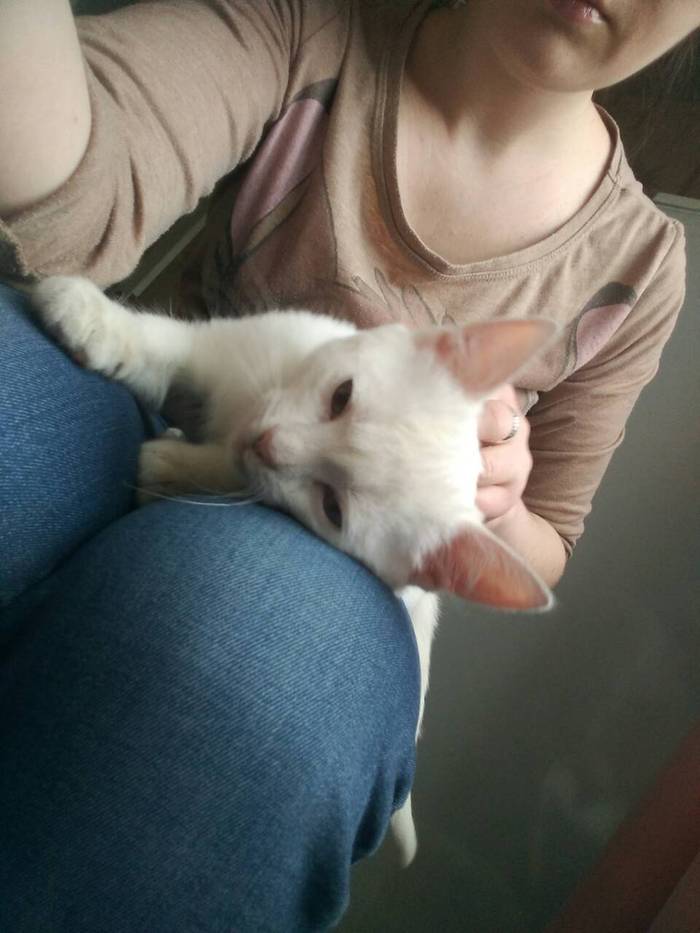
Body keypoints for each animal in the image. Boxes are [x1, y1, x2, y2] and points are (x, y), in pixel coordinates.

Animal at [31, 275, 555, 866]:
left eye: (332, 508)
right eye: (341, 396)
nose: (267, 443)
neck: (241, 411)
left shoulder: (247, 466)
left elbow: (228, 472)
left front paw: (173, 468)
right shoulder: (244, 342)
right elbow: (172, 344)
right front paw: (95, 317)